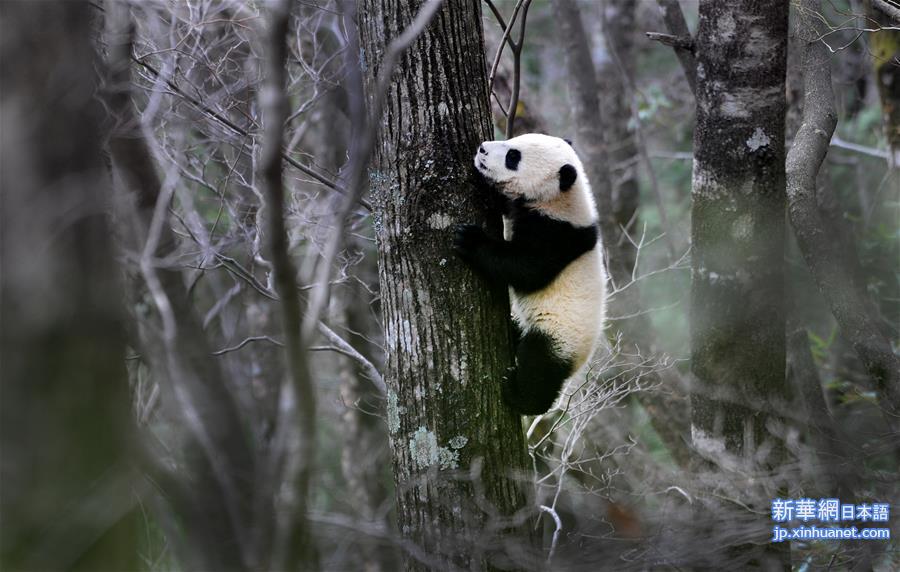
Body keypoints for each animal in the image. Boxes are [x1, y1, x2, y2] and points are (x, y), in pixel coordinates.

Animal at [454, 135, 608, 416]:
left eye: (513, 157)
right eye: (511, 140)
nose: (482, 148)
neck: (562, 198)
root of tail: (581, 362)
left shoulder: (558, 236)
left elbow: (525, 268)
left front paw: (470, 239)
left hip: (559, 336)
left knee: (539, 368)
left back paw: (520, 396)